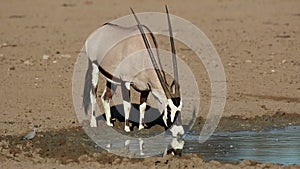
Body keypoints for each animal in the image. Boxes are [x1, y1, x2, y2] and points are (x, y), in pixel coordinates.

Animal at [82, 5, 185, 137]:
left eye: (180, 109)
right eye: (169, 109)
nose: (180, 132)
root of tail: (98, 31)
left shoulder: (146, 87)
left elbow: (143, 106)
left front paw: (141, 127)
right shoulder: (125, 82)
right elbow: (127, 105)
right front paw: (127, 128)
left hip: (112, 78)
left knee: (106, 97)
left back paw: (110, 123)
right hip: (94, 66)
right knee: (93, 94)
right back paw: (93, 123)